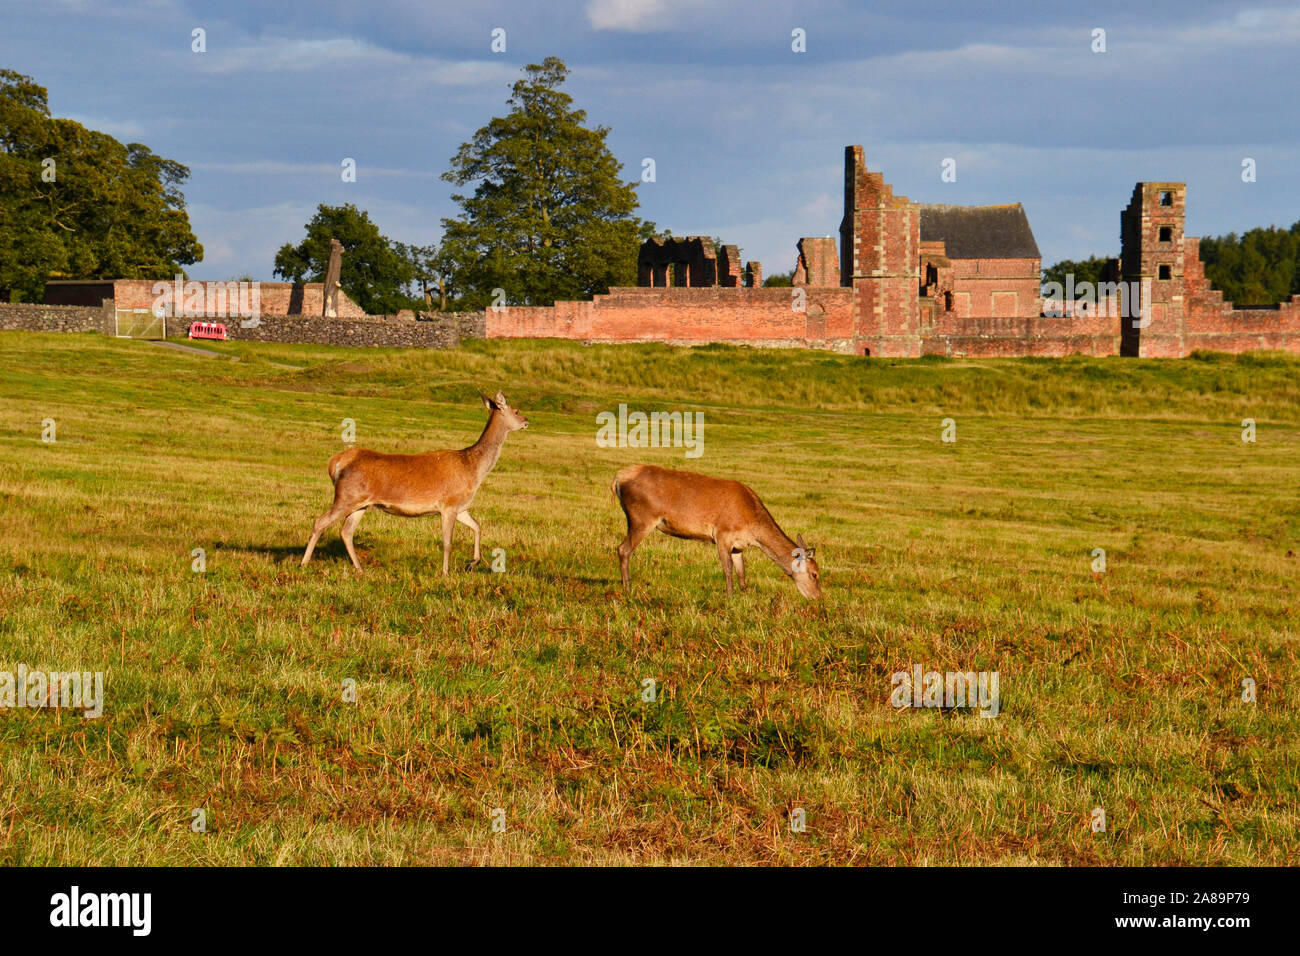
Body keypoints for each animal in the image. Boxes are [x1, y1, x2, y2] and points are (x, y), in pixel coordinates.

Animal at [301, 391, 528, 574]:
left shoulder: (461, 506)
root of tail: (336, 463)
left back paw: (360, 569)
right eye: (516, 410)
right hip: (347, 496)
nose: (527, 420)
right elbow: (447, 542)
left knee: (346, 531)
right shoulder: (448, 504)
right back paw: (304, 564)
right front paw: (445, 573)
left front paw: (472, 563)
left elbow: (477, 526)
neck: (473, 469)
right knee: (320, 521)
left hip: (361, 503)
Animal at [612, 464, 822, 600]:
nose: (818, 598)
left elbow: (741, 571)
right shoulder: (722, 534)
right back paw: (628, 589)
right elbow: (727, 569)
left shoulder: (738, 546)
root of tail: (617, 479)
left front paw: (744, 594)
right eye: (815, 574)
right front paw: (730, 598)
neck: (753, 529)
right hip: (642, 518)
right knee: (623, 549)